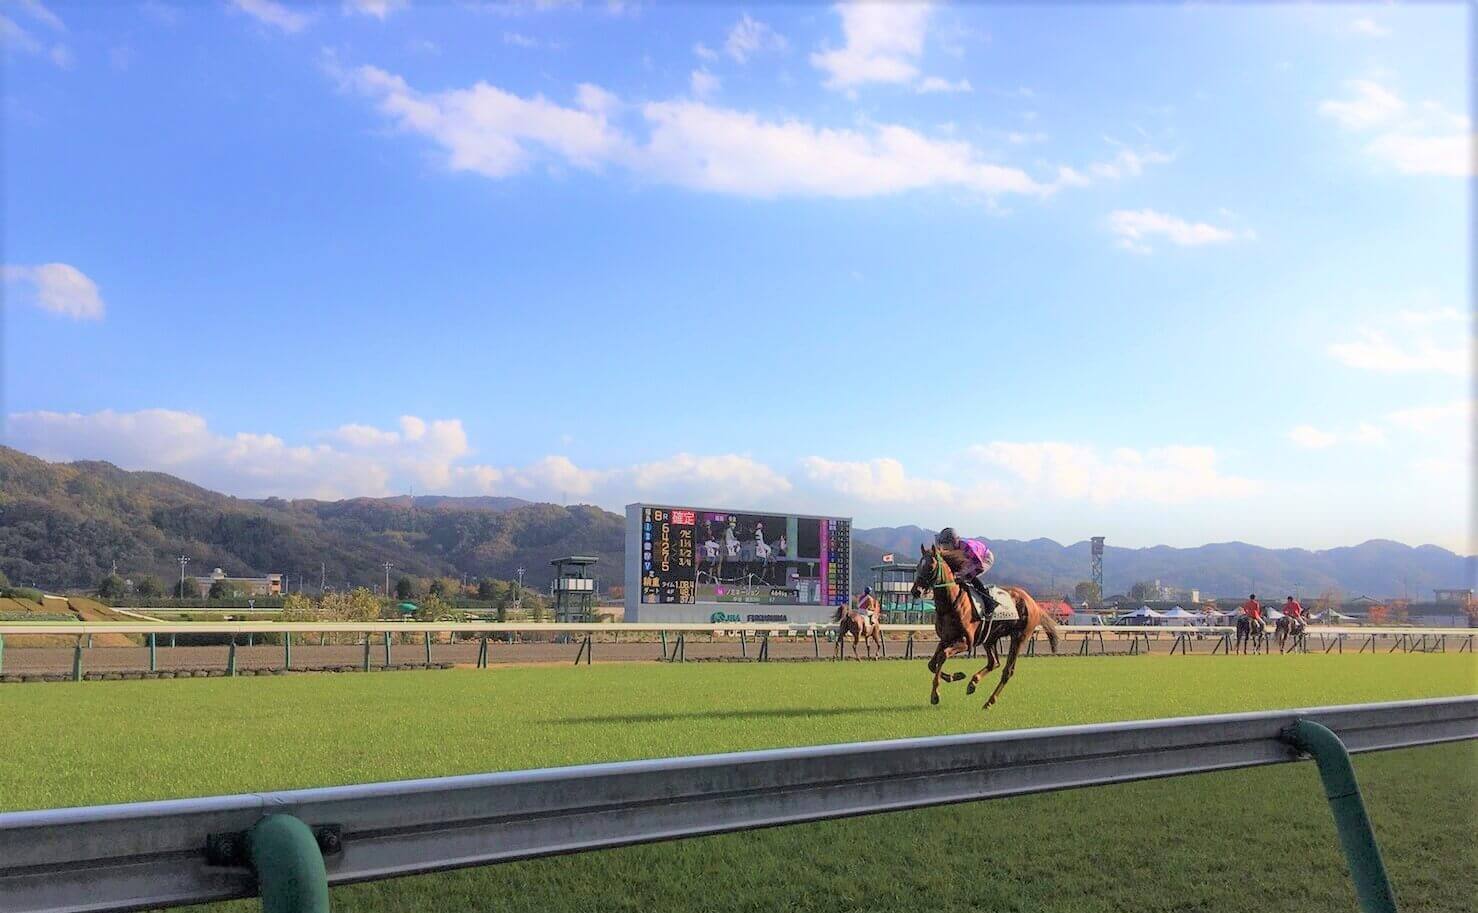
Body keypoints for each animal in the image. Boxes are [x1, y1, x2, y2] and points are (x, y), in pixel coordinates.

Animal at [904, 543, 1058, 706]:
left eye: (931, 566)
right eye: (918, 566)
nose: (916, 591)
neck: (950, 605)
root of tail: (1033, 602)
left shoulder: (966, 642)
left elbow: (942, 656)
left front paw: (935, 694)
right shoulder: (945, 639)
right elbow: (932, 664)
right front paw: (956, 676)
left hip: (1019, 638)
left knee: (1007, 670)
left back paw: (990, 701)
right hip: (990, 638)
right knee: (994, 662)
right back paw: (973, 683)